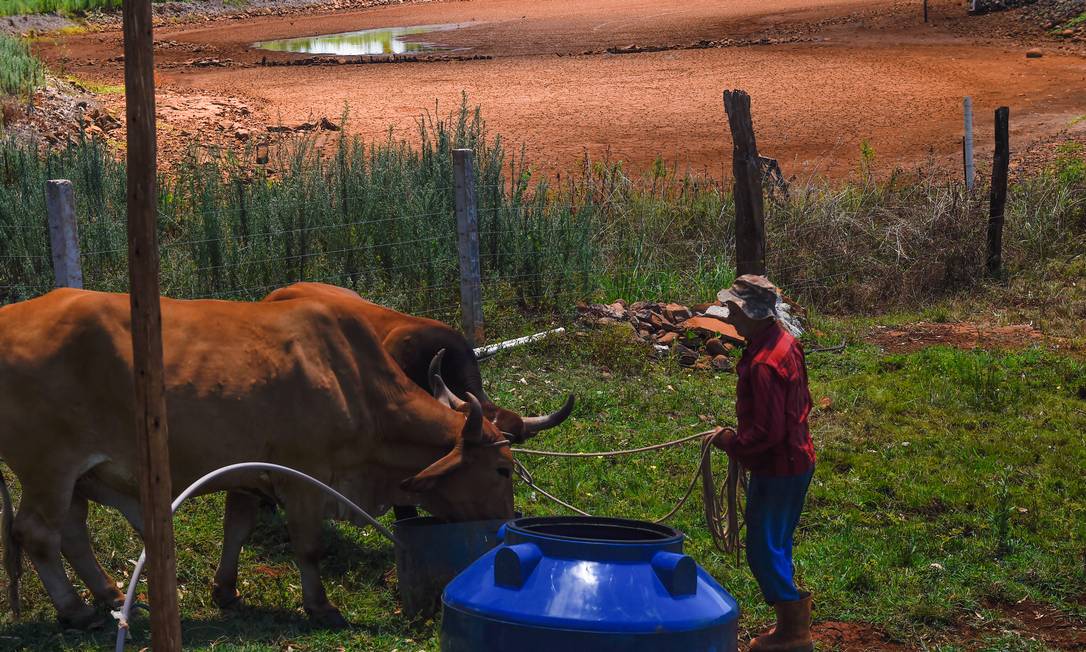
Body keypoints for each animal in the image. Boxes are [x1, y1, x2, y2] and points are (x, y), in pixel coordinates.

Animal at [0, 289, 512, 625]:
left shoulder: (249, 476)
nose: (507, 523)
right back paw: (74, 610)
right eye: (503, 468)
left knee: (72, 533)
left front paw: (226, 590)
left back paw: (107, 593)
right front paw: (321, 607)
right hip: (48, 467)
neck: (350, 381)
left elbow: (237, 530)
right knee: (38, 534)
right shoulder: (304, 479)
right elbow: (309, 547)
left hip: (74, 476)